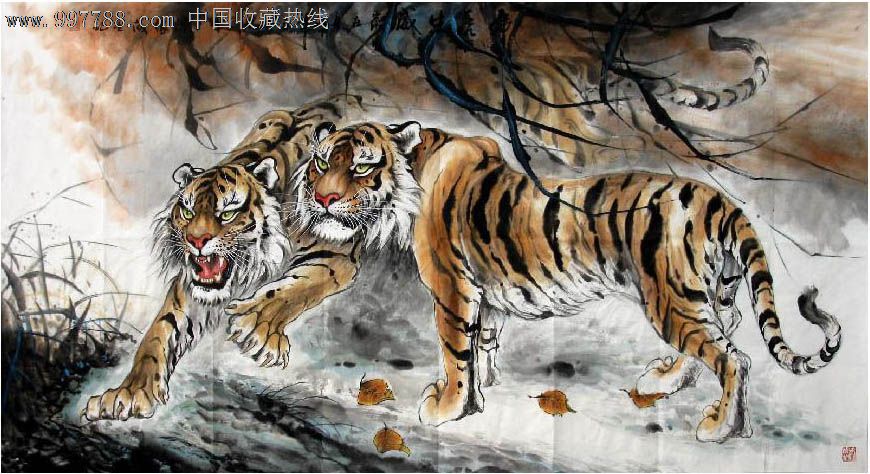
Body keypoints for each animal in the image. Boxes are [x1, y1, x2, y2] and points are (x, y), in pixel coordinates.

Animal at [82, 96, 370, 421]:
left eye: (228, 214)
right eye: (188, 211)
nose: (196, 241)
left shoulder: (336, 252)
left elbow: (294, 288)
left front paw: (257, 327)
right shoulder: (191, 286)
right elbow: (158, 333)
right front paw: (129, 393)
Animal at [295, 120, 842, 442]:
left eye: (362, 167)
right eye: (322, 161)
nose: (323, 199)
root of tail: (719, 199)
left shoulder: (453, 288)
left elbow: (454, 352)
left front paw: (447, 407)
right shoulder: (486, 293)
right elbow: (483, 343)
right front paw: (482, 390)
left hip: (670, 300)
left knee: (735, 358)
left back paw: (719, 427)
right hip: (707, 295)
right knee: (724, 334)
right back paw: (665, 381)